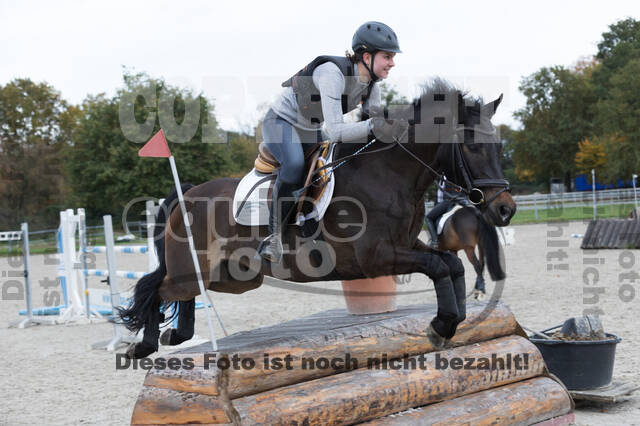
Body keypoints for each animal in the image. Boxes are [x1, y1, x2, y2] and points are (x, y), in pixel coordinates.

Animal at [120, 78, 516, 358]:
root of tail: (187, 194)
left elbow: (451, 265)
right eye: (473, 146)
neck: (388, 172)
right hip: (195, 269)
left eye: (499, 146)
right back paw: (144, 345)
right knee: (159, 288)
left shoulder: (406, 244)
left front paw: (449, 322)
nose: (505, 209)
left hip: (234, 277)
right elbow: (438, 267)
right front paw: (441, 324)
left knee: (181, 291)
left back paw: (176, 333)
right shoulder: (377, 257)